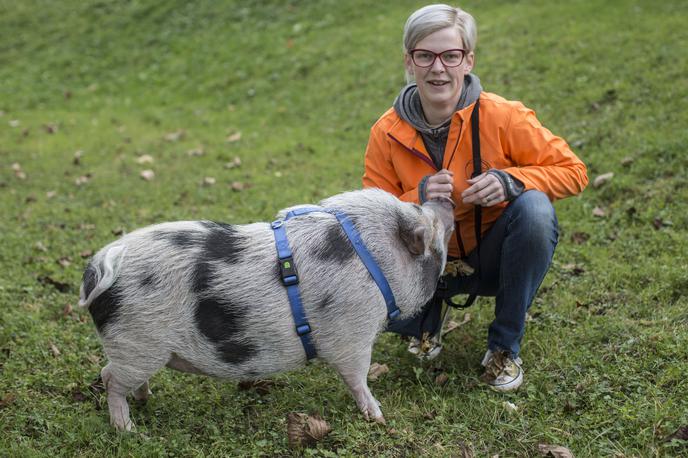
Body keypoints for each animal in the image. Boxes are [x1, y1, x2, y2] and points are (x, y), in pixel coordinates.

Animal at [78, 188, 454, 432]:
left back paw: (145, 399)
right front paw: (378, 416)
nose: (445, 198)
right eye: (432, 227)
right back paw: (127, 429)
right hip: (135, 345)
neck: (375, 262)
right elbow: (358, 377)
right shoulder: (353, 336)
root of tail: (101, 266)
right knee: (109, 378)